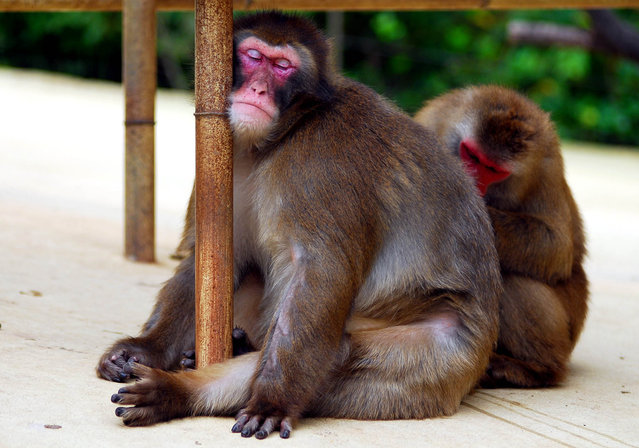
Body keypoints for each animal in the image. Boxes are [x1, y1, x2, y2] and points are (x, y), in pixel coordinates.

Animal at [100, 12, 502, 440]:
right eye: (254, 56)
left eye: (282, 66)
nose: (258, 88)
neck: (280, 138)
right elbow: (211, 258)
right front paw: (145, 349)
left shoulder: (323, 162)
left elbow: (322, 272)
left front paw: (272, 401)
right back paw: (177, 389)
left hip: (437, 361)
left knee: (342, 350)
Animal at [416, 86, 592, 386]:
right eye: (471, 155)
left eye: (493, 170)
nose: (473, 180)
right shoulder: (430, 123)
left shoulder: (546, 166)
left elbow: (556, 246)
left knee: (510, 276)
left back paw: (536, 368)